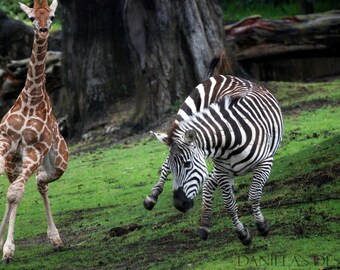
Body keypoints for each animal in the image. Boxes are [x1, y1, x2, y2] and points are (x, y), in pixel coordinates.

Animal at [0, 0, 68, 262]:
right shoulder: (5, 142)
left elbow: (15, 194)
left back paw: (56, 239)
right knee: (23, 185)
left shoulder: (35, 149)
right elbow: (11, 194)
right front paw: (5, 246)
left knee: (40, 183)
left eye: (52, 17)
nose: (43, 30)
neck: (31, 99)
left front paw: (8, 250)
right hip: (14, 162)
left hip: (58, 163)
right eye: (31, 17)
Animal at [142, 70, 282, 245]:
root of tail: (224, 76)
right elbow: (229, 204)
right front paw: (243, 234)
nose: (179, 205)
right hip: (184, 116)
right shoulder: (222, 171)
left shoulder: (265, 163)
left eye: (187, 164)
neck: (230, 140)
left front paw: (261, 225)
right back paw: (152, 197)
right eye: (175, 169)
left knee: (209, 181)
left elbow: (254, 195)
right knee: (167, 161)